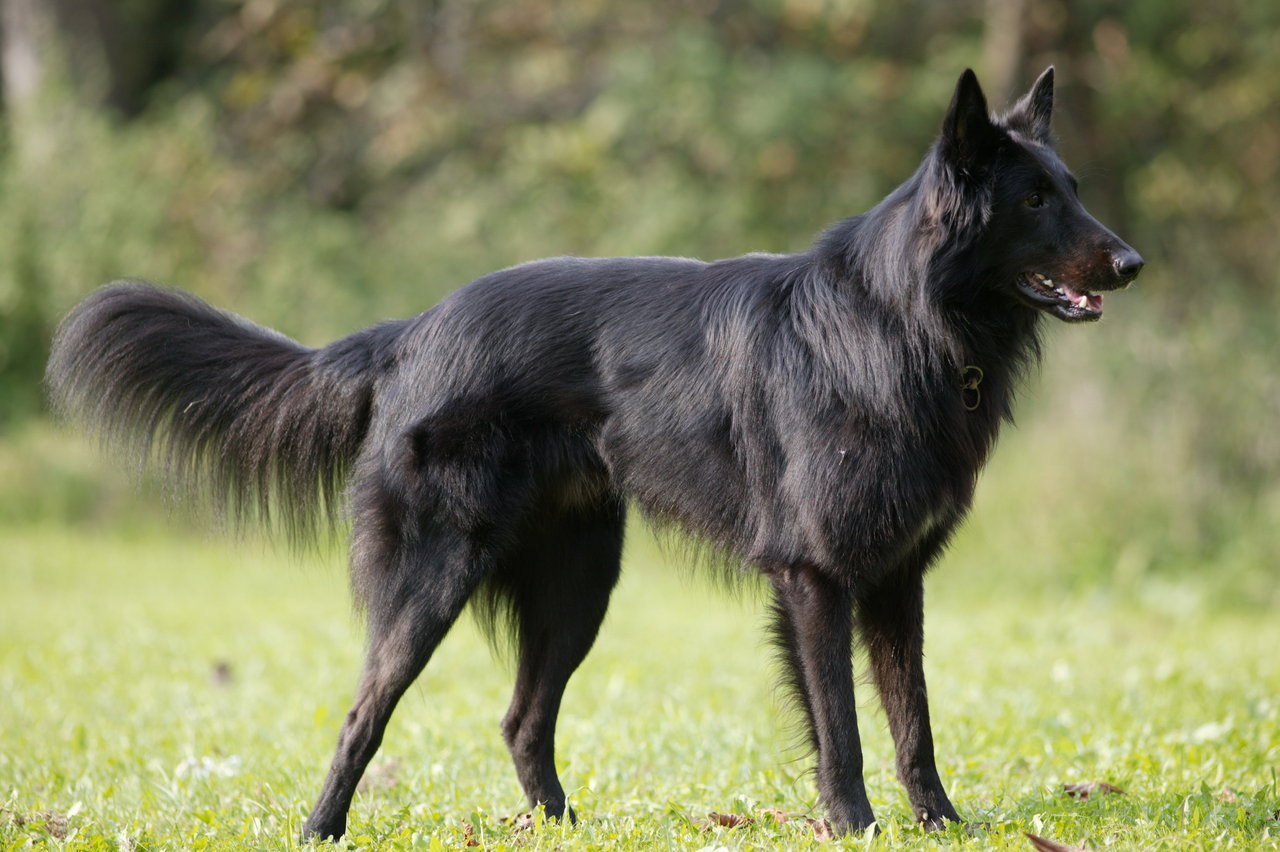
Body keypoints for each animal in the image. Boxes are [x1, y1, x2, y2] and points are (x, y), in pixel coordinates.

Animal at [47, 68, 1141, 834]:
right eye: (1033, 203)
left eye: (1071, 189)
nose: (1132, 262)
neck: (898, 324)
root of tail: (410, 334)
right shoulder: (817, 578)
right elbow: (842, 729)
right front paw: (855, 827)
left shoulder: (895, 580)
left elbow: (914, 722)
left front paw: (940, 825)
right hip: (432, 581)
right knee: (363, 714)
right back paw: (322, 829)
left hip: (578, 588)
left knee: (520, 719)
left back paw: (561, 827)